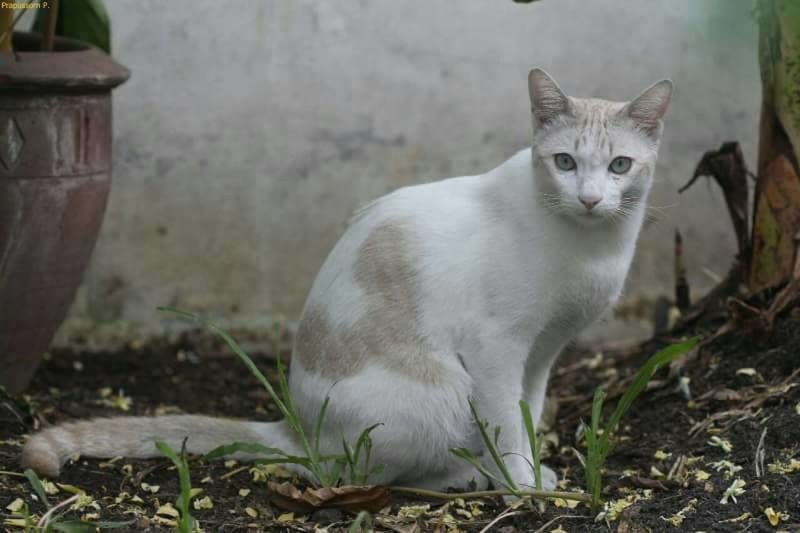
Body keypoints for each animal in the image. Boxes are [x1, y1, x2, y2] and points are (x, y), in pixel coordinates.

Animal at [21, 68, 668, 492]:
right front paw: (519, 482)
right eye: (564, 162)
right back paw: (464, 475)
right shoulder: (496, 349)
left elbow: (527, 413)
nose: (590, 199)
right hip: (441, 393)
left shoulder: (541, 352)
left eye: (619, 166)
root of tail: (298, 428)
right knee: (356, 472)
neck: (591, 249)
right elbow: (508, 422)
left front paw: (530, 470)